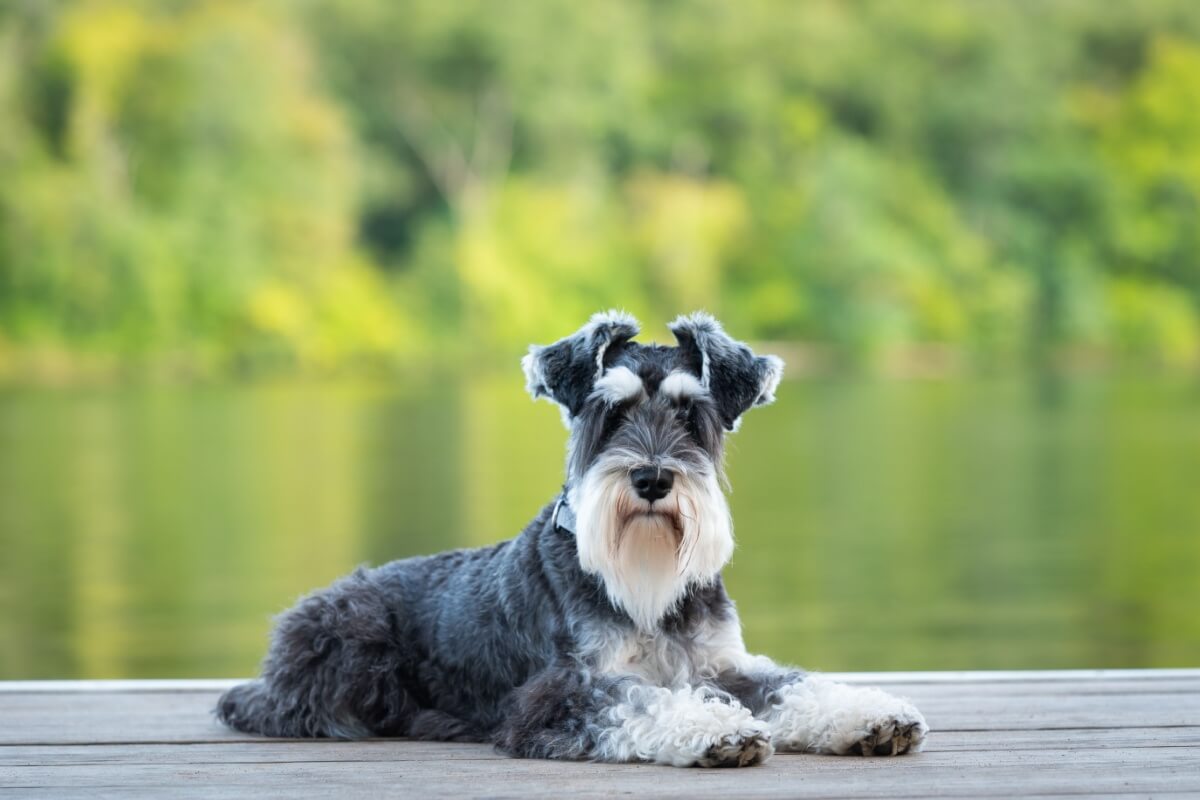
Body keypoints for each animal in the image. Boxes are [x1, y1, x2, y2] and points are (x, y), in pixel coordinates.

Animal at [218, 309, 926, 767]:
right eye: (608, 413)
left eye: (690, 414)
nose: (650, 478)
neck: (644, 584)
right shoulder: (559, 691)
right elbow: (635, 699)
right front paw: (712, 727)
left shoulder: (722, 665)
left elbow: (794, 684)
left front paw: (870, 715)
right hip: (352, 635)